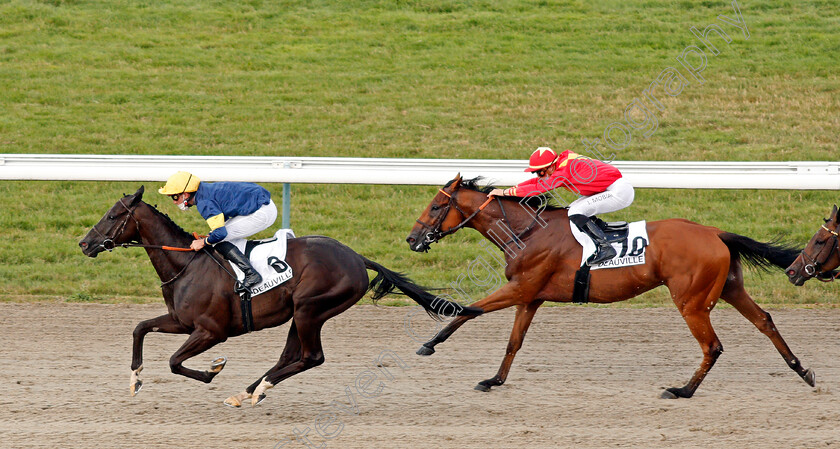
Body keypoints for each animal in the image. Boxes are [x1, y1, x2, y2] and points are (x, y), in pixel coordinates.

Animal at [83, 186, 486, 406]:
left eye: (113, 215)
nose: (84, 243)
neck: (187, 263)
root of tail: (357, 257)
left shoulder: (211, 331)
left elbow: (174, 362)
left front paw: (214, 370)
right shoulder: (181, 322)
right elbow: (140, 328)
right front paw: (135, 379)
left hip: (311, 308)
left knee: (311, 357)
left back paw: (257, 388)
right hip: (300, 312)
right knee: (291, 355)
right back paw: (249, 391)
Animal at [406, 173, 812, 398]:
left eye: (435, 207)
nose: (412, 239)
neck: (528, 231)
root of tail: (715, 232)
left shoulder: (521, 289)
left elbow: (469, 310)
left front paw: (428, 344)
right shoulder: (530, 297)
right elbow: (513, 343)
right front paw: (493, 380)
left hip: (692, 301)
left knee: (712, 346)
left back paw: (682, 390)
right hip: (729, 288)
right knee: (764, 320)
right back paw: (802, 370)